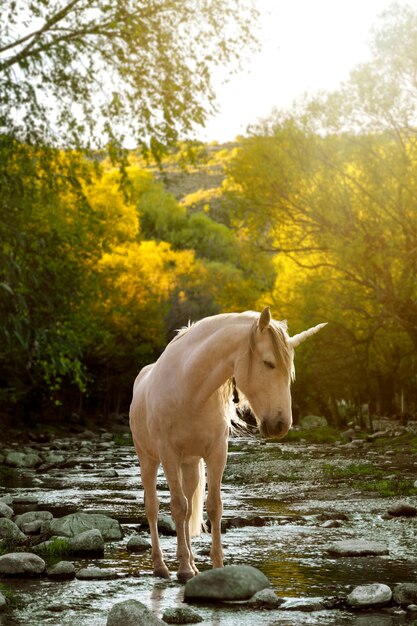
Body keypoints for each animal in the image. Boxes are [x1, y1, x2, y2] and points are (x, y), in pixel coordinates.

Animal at [129, 308, 324, 580]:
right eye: (268, 363)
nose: (280, 425)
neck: (190, 389)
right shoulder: (168, 455)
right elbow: (177, 507)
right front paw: (183, 569)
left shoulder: (217, 453)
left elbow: (213, 507)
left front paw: (216, 566)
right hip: (148, 459)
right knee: (154, 507)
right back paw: (162, 566)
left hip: (190, 464)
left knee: (189, 509)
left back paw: (192, 564)